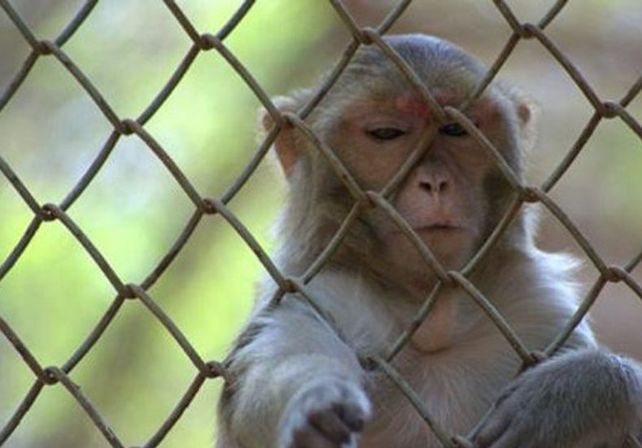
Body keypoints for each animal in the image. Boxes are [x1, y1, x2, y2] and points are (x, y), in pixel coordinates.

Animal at [215, 34, 642, 448]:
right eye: (386, 133)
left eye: (457, 129)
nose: (435, 182)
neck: (431, 317)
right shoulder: (314, 292)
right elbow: (273, 375)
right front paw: (316, 406)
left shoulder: (536, 305)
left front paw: (584, 390)